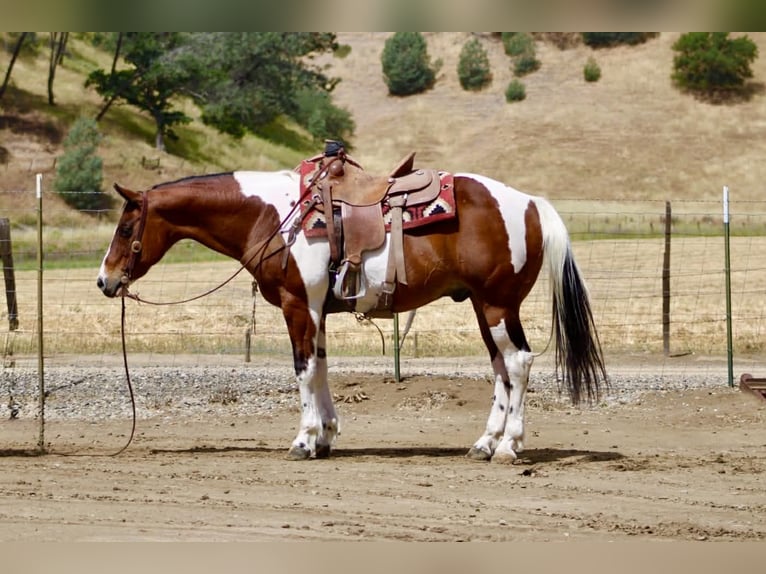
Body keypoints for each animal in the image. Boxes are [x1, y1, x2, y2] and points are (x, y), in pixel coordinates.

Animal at [97, 155, 607, 463]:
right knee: (502, 367)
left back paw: (509, 447)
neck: (272, 215)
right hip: (486, 309)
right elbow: (320, 367)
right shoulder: (316, 310)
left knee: (518, 363)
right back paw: (485, 443)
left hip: (498, 304)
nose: (105, 280)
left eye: (125, 228)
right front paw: (325, 435)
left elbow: (303, 370)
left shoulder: (297, 304)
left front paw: (303, 440)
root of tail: (532, 204)